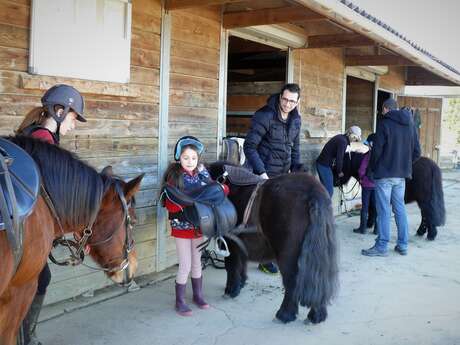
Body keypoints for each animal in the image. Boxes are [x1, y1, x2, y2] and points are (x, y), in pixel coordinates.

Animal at [208, 161, 338, 322]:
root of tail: (313, 192)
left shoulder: (230, 242)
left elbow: (231, 265)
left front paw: (231, 290)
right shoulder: (240, 242)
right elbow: (241, 263)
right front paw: (241, 283)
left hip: (287, 255)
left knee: (292, 281)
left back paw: (285, 314)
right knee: (318, 280)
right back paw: (317, 315)